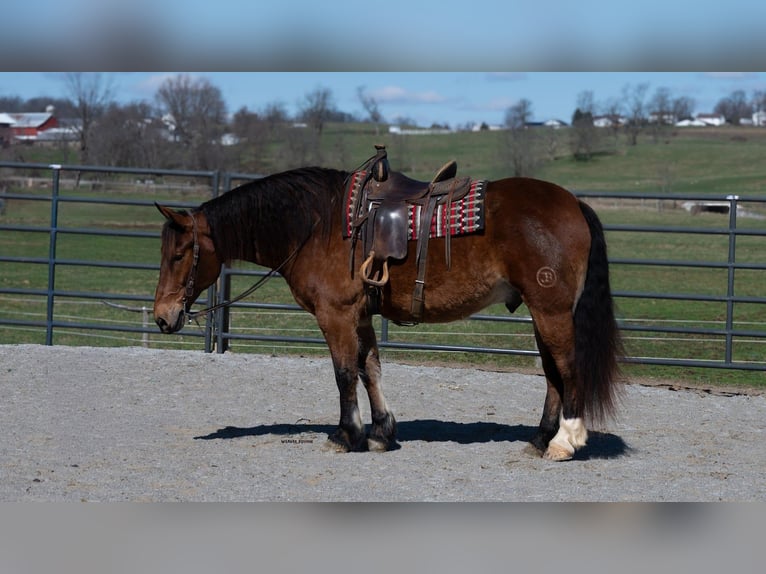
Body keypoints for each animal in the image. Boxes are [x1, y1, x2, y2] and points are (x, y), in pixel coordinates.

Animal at [153, 163, 622, 461]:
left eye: (178, 255)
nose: (162, 316)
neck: (315, 225)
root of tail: (573, 204)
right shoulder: (360, 315)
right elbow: (370, 369)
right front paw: (380, 432)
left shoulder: (336, 316)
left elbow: (344, 374)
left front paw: (347, 435)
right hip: (542, 314)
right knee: (553, 374)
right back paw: (541, 437)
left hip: (551, 311)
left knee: (569, 369)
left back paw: (564, 441)